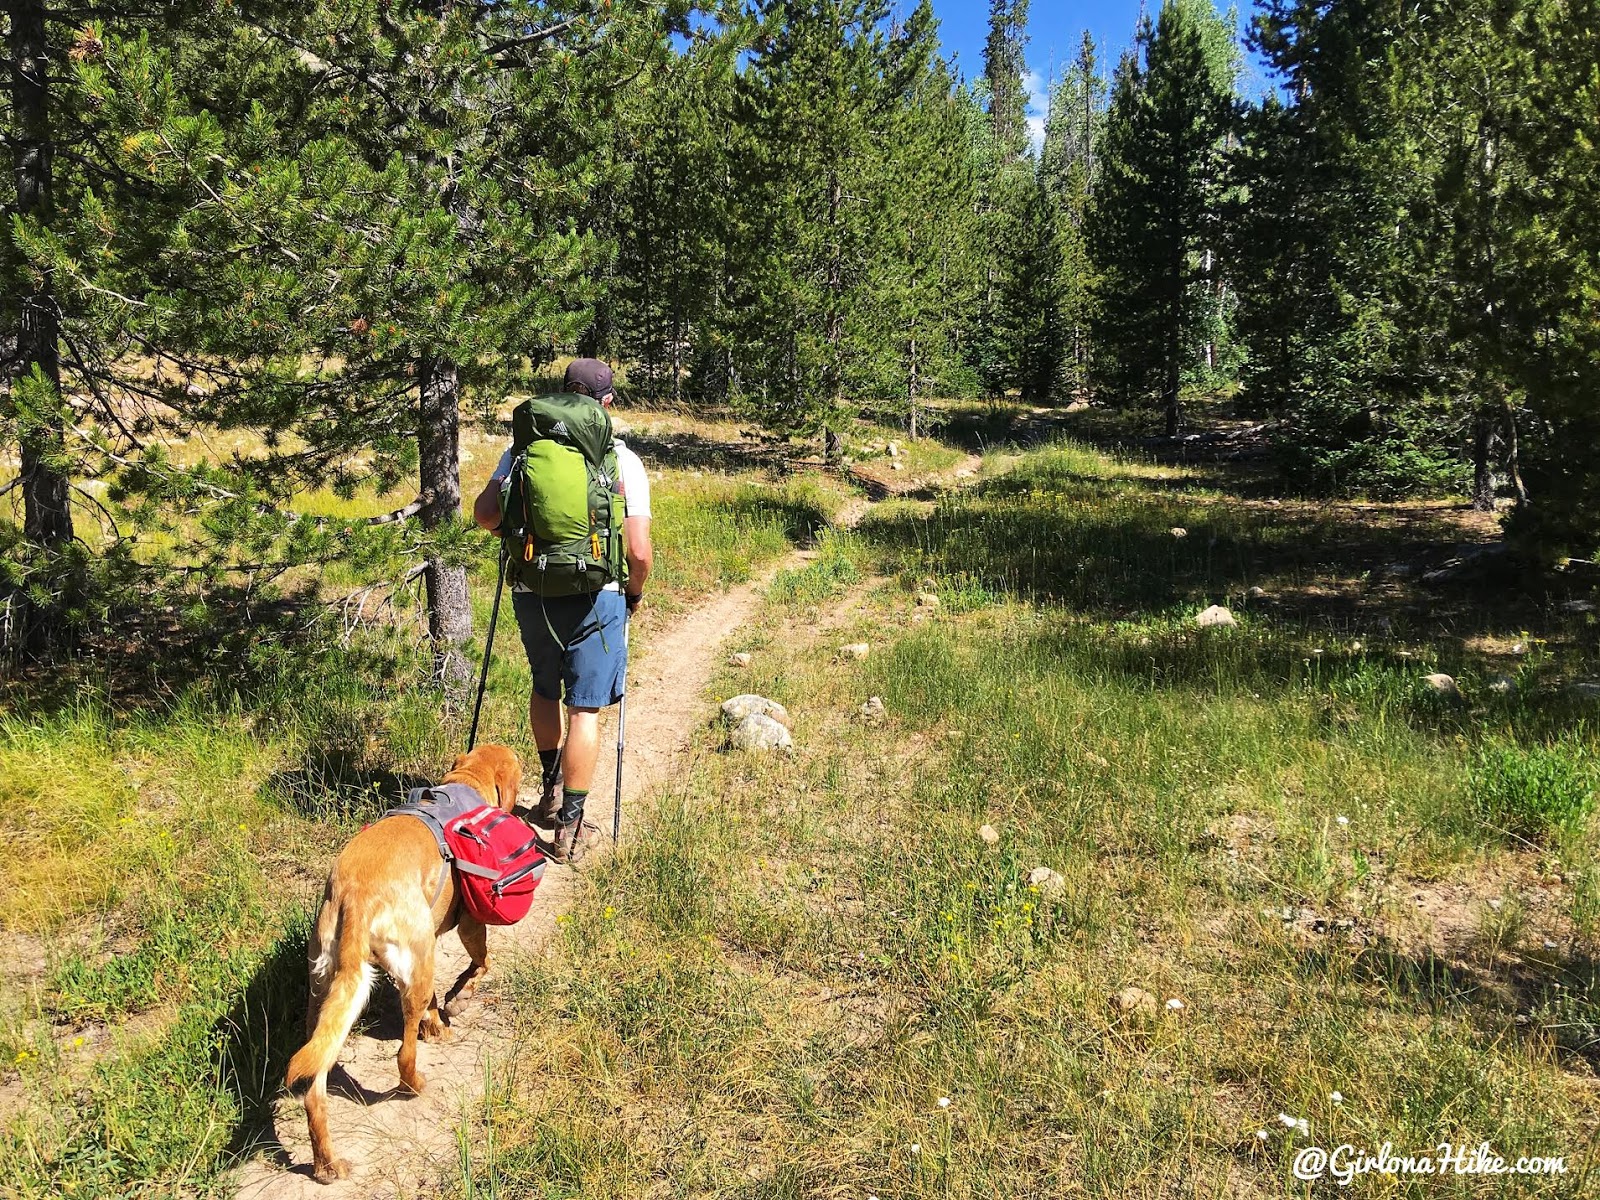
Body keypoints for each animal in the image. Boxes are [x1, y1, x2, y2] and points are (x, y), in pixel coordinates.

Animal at [281, 748, 518, 1190]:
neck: (465, 782)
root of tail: (356, 895)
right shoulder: (468, 925)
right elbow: (481, 963)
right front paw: (459, 998)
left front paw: (439, 1019)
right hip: (410, 969)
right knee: (404, 1056)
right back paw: (415, 1084)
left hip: (330, 995)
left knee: (314, 1088)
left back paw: (326, 1164)